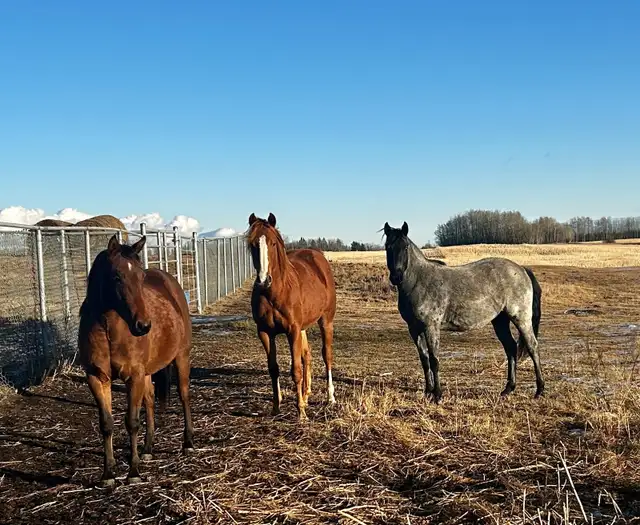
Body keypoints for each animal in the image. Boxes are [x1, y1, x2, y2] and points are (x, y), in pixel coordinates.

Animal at [78, 235, 193, 485]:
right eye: (117, 277)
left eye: (141, 277)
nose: (143, 326)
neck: (109, 330)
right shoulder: (97, 378)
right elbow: (106, 424)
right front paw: (108, 474)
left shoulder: (134, 377)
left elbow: (131, 422)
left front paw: (133, 472)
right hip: (148, 373)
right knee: (149, 402)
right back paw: (148, 449)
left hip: (181, 358)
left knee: (184, 396)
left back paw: (188, 442)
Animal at [247, 213, 337, 420]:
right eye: (253, 244)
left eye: (272, 243)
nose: (263, 281)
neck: (276, 292)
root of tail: (318, 256)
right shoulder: (265, 332)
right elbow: (274, 368)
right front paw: (276, 406)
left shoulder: (292, 331)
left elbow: (295, 370)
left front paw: (301, 412)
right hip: (303, 328)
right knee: (306, 355)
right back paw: (305, 394)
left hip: (326, 321)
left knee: (326, 355)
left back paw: (330, 397)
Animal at [383, 221, 544, 401]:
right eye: (387, 246)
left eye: (405, 247)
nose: (396, 277)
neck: (419, 282)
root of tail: (521, 269)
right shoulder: (414, 329)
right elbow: (424, 360)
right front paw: (427, 392)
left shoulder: (431, 327)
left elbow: (434, 360)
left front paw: (437, 394)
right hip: (500, 321)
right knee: (511, 348)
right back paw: (508, 389)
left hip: (521, 319)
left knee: (532, 347)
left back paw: (539, 390)